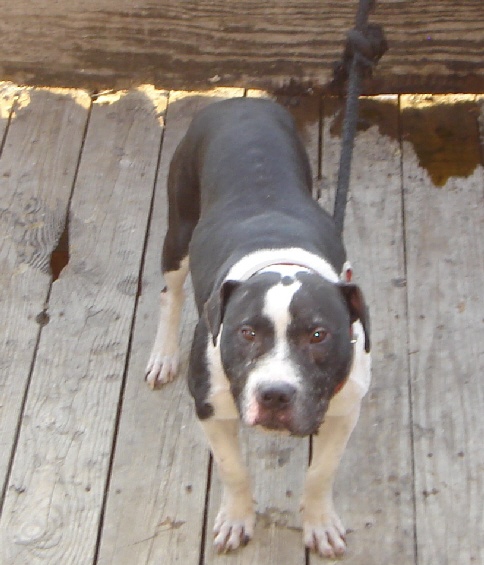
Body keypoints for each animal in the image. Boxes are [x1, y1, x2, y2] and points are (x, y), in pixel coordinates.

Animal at [145, 97, 371, 558]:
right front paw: (236, 518)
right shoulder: (210, 409)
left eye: (318, 335)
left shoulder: (344, 411)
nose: (275, 394)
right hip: (178, 231)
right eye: (246, 333)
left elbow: (321, 472)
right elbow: (233, 470)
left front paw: (319, 523)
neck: (281, 258)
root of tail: (238, 101)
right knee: (169, 293)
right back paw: (163, 355)